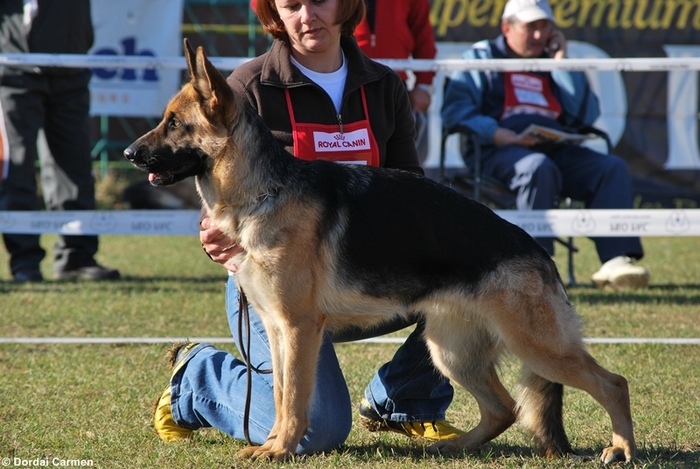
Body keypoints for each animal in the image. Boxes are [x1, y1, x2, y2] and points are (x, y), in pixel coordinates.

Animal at [123, 39, 636, 460]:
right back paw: (457, 447)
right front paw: (272, 445)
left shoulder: (298, 329)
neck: (264, 190)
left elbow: (295, 401)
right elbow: (283, 395)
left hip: (535, 346)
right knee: (503, 408)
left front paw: (280, 449)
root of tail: (537, 250)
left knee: (613, 384)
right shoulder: (277, 328)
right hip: (450, 350)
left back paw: (622, 449)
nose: (128, 153)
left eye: (173, 123)